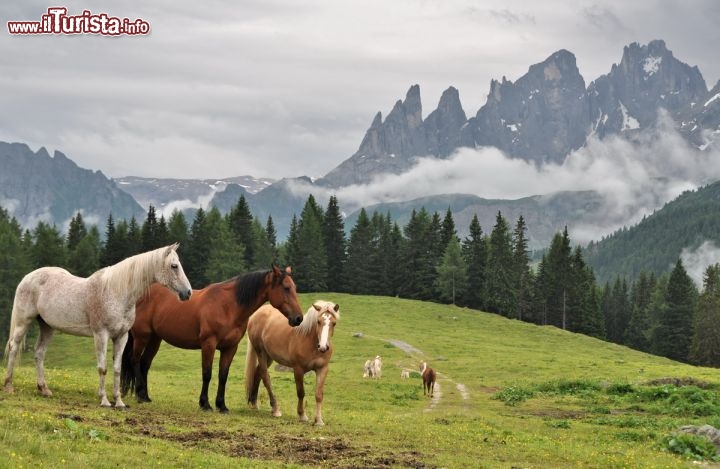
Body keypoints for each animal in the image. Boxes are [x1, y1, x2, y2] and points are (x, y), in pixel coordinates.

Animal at [2, 243, 193, 408]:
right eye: (174, 266)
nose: (188, 293)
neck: (116, 292)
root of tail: (27, 277)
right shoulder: (101, 334)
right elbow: (103, 368)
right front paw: (104, 401)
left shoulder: (121, 337)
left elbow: (116, 370)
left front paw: (119, 402)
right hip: (24, 322)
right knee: (14, 347)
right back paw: (9, 386)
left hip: (47, 327)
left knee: (39, 353)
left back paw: (44, 389)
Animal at [122, 266, 302, 412]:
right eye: (286, 288)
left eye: (294, 287)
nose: (298, 318)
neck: (228, 306)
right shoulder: (208, 344)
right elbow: (207, 373)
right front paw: (205, 404)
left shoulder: (230, 348)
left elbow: (223, 375)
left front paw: (221, 405)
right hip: (141, 337)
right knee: (135, 360)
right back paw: (139, 393)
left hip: (155, 339)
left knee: (145, 364)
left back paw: (145, 396)